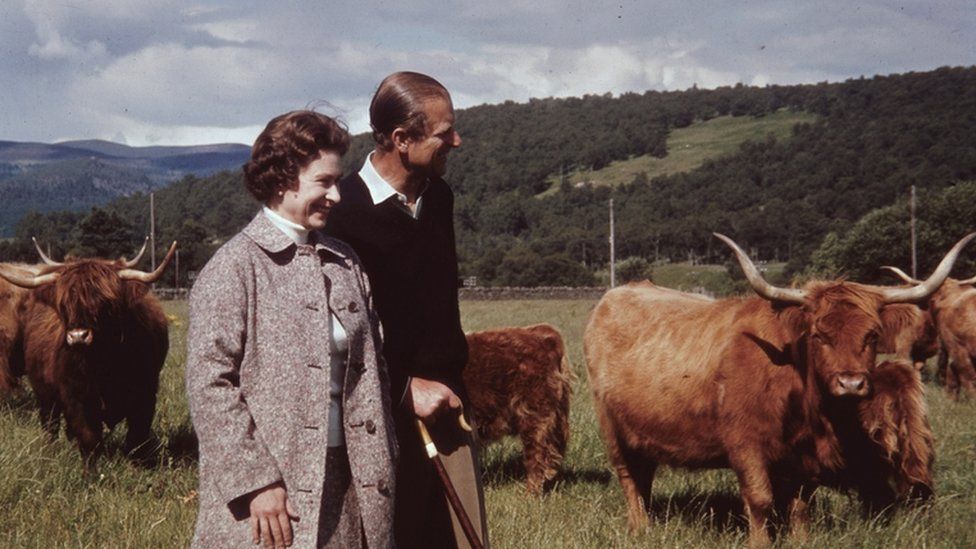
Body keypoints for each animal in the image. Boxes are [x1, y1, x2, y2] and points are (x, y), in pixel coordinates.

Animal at [0, 242, 175, 474]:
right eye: (64, 304)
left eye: (105, 303)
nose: (78, 336)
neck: (103, 364)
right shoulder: (76, 397)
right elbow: (88, 437)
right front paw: (90, 474)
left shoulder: (145, 393)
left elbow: (137, 437)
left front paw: (136, 470)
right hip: (44, 392)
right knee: (50, 423)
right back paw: (50, 451)